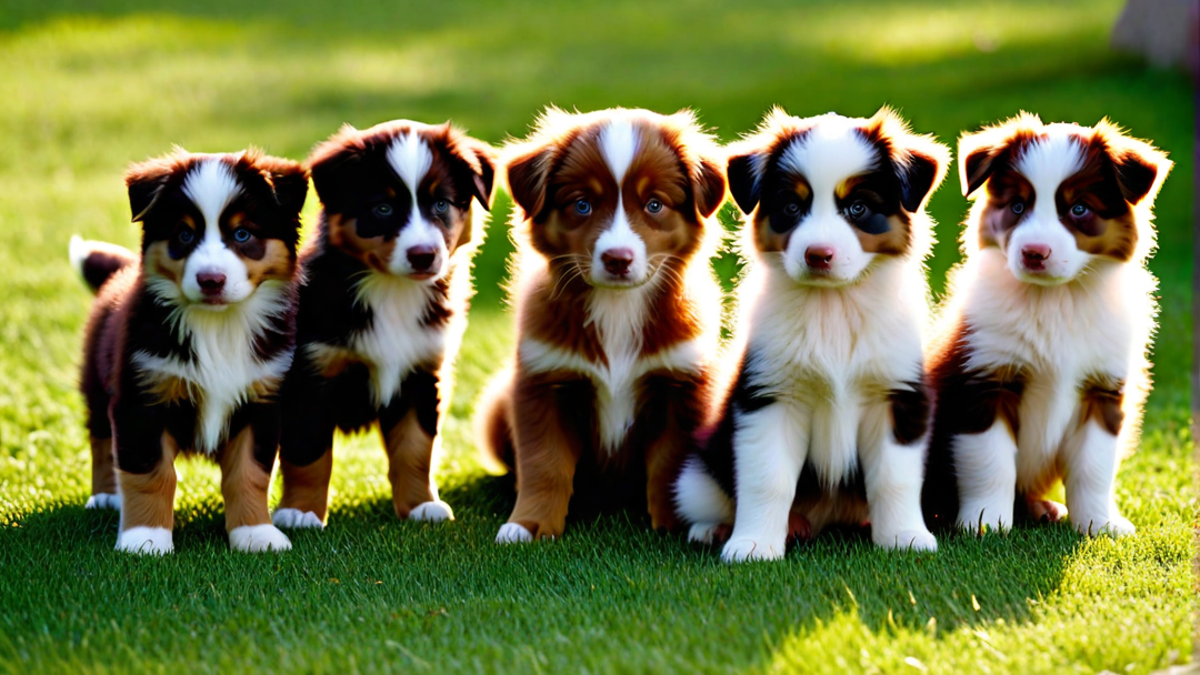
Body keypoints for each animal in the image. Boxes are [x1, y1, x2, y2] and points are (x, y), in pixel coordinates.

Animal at [70, 147, 309, 552]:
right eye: (184, 234)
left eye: (242, 234)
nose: (211, 280)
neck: (217, 326)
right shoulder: (141, 399)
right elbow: (150, 474)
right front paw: (146, 540)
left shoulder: (261, 401)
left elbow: (249, 474)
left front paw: (255, 534)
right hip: (98, 386)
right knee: (101, 440)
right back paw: (105, 496)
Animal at [271, 121, 492, 530]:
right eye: (383, 208)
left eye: (441, 204)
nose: (423, 256)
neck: (393, 293)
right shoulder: (310, 377)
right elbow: (309, 454)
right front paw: (301, 512)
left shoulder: (423, 373)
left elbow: (417, 448)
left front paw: (421, 505)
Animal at [475, 107, 720, 542]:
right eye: (583, 204)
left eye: (654, 205)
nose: (617, 259)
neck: (617, 307)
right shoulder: (542, 383)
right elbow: (544, 463)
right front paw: (528, 524)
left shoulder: (682, 384)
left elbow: (670, 463)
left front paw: (676, 521)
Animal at [672, 106, 950, 557]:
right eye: (791, 206)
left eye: (858, 207)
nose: (818, 255)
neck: (832, 308)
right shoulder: (769, 396)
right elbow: (767, 479)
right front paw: (752, 546)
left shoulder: (898, 395)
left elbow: (895, 478)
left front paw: (904, 537)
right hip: (697, 471)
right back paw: (717, 529)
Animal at [916, 114, 1171, 535]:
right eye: (1017, 205)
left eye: (1080, 208)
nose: (1034, 253)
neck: (1056, 300)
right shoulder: (984, 380)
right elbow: (991, 462)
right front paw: (986, 524)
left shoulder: (1104, 389)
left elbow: (1094, 467)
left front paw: (1100, 524)